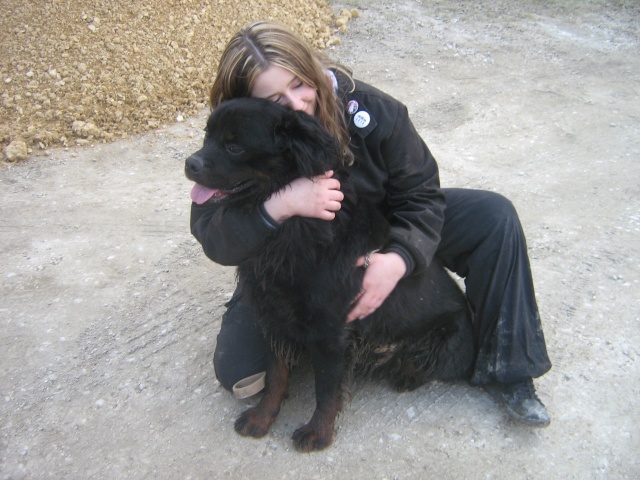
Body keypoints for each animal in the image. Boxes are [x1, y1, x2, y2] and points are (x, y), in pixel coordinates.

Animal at [185, 96, 476, 450]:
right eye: (207, 136)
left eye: (234, 147)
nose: (189, 164)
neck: (293, 226)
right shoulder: (273, 316)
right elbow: (275, 375)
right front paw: (262, 417)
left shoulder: (330, 328)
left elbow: (325, 389)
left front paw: (318, 432)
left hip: (442, 340)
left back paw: (403, 372)